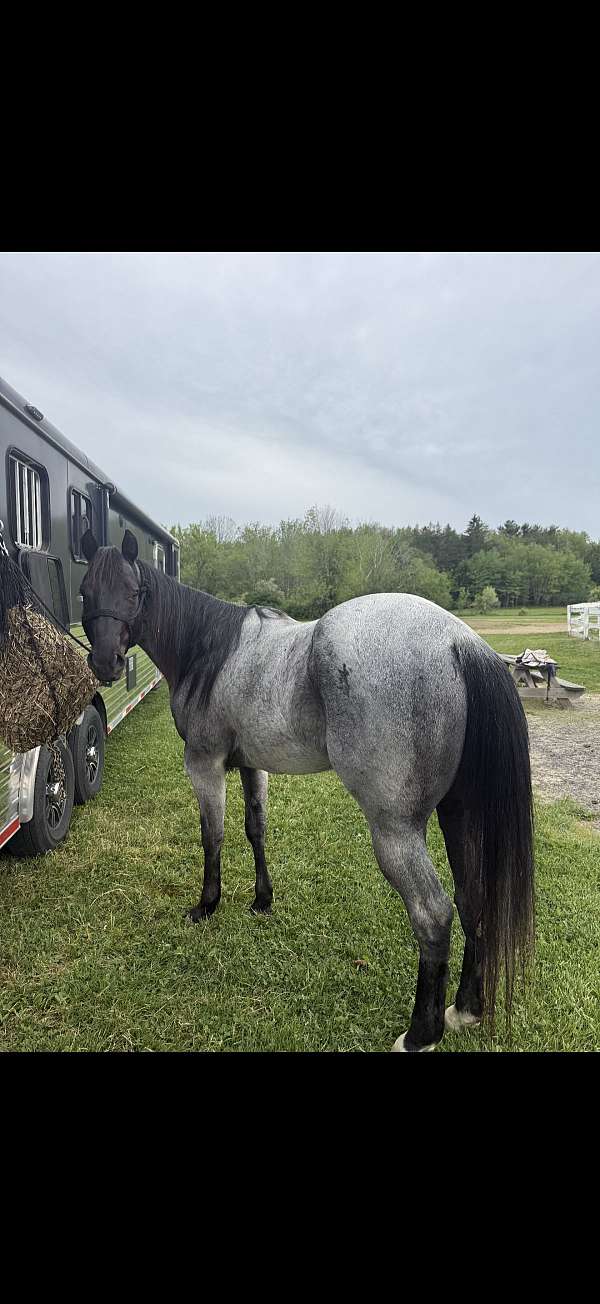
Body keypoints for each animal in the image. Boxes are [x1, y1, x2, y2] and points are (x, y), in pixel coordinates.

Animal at [80, 528, 534, 1052]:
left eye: (134, 593)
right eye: (86, 592)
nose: (105, 663)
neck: (211, 651)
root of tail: (459, 641)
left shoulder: (204, 764)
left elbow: (212, 836)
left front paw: (207, 905)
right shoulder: (251, 766)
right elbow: (255, 828)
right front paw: (261, 900)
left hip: (395, 830)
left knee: (433, 914)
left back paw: (421, 1033)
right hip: (457, 814)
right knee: (470, 898)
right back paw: (465, 1009)